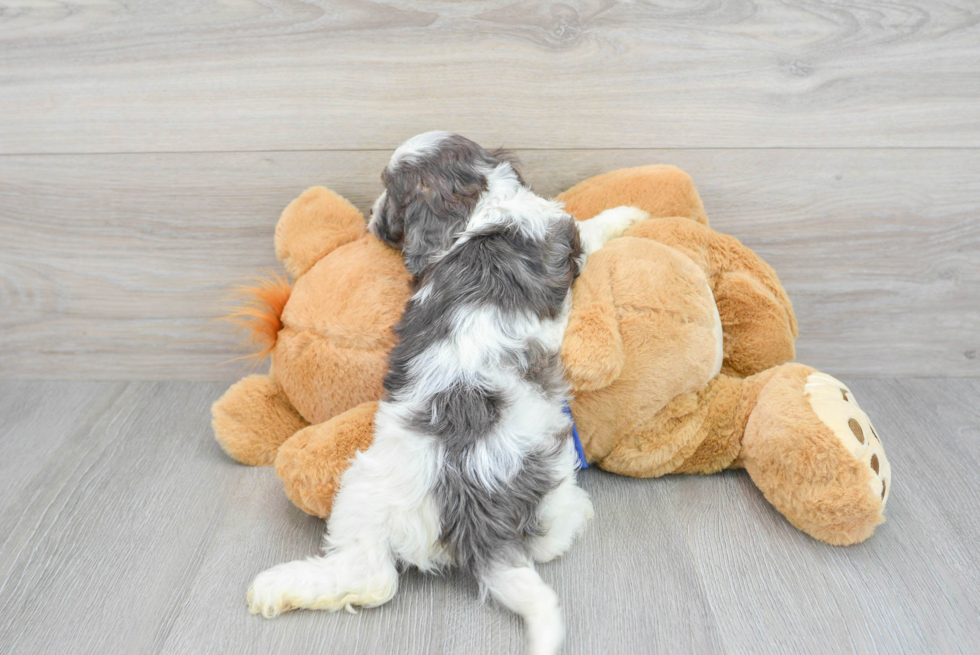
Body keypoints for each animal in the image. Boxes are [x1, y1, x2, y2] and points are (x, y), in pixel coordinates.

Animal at [249, 132, 652, 655]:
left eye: (390, 191)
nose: (371, 215)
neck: (482, 205)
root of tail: (473, 507)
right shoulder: (565, 235)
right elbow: (592, 226)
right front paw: (628, 214)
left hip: (369, 485)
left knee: (375, 575)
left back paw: (277, 589)